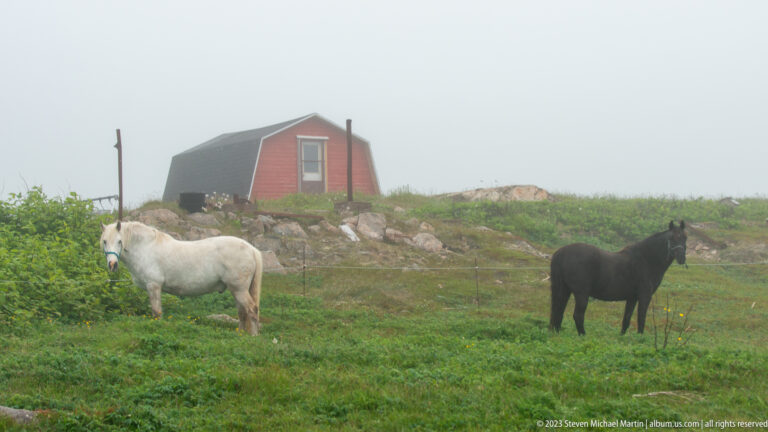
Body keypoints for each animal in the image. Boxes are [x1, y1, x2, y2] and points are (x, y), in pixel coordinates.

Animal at [100, 221, 264, 335]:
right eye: (104, 241)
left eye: (119, 241)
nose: (112, 265)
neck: (146, 248)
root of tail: (251, 249)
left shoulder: (153, 286)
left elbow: (156, 312)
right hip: (237, 290)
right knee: (242, 313)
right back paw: (240, 334)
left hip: (239, 290)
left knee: (251, 310)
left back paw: (253, 336)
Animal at [549, 220, 687, 336]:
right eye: (672, 238)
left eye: (685, 237)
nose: (681, 258)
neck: (646, 260)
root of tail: (561, 253)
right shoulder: (644, 296)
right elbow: (641, 317)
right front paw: (640, 337)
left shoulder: (632, 297)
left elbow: (627, 318)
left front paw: (622, 336)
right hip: (581, 293)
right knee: (577, 315)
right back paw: (583, 335)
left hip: (564, 290)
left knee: (558, 311)